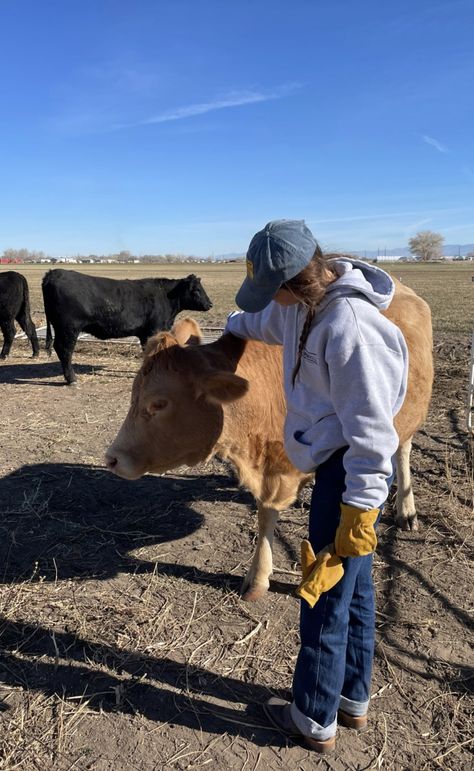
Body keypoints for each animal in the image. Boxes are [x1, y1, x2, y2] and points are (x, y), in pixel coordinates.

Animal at [42, 270, 213, 384]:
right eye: (196, 290)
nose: (210, 304)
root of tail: (53, 273)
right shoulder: (153, 329)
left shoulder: (146, 333)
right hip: (69, 328)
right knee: (64, 349)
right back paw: (71, 379)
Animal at [106, 284, 434, 604]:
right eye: (134, 394)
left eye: (159, 403)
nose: (112, 457)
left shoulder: (278, 470)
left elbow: (267, 517)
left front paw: (258, 577)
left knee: (402, 452)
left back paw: (406, 510)